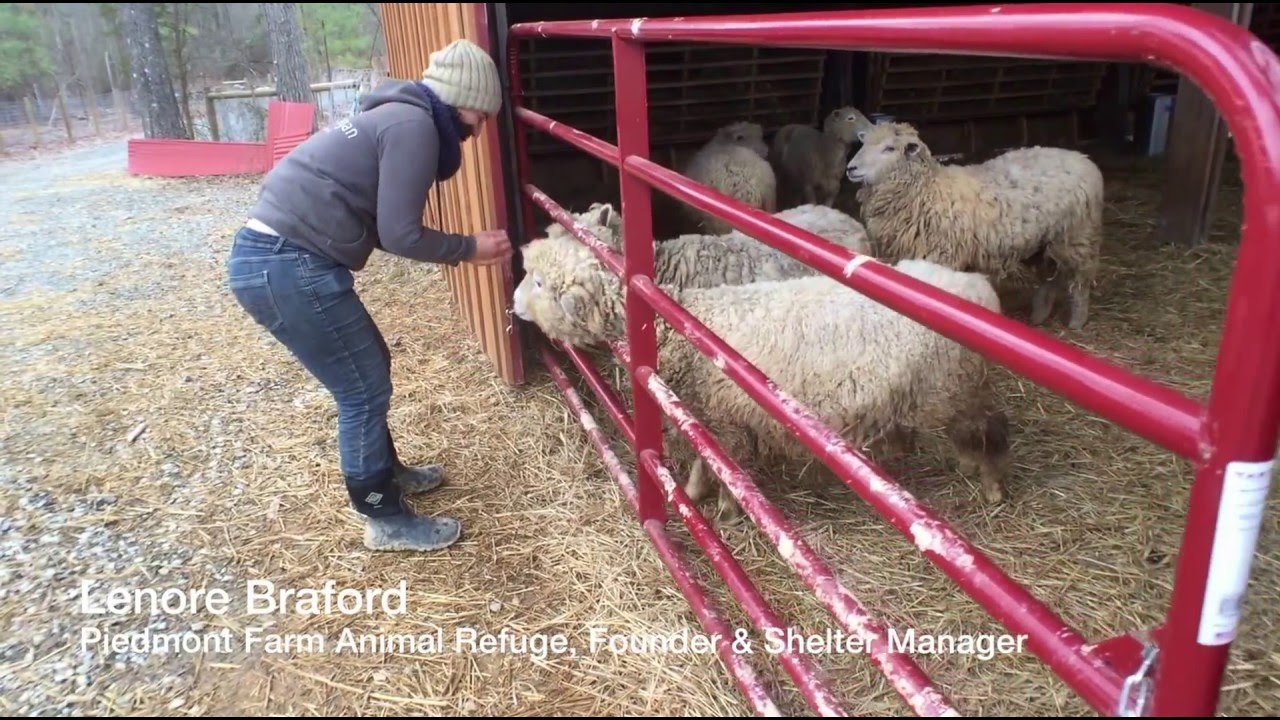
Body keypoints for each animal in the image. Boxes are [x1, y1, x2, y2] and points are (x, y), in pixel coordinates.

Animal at [512, 232, 1013, 522]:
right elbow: (704, 463)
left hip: (957, 388)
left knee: (990, 432)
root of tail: (978, 288)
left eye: (538, 283)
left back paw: (991, 487)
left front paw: (726, 511)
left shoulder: (728, 420)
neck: (677, 323)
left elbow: (728, 471)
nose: (512, 307)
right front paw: (692, 494)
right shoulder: (708, 416)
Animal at [846, 121, 1104, 330]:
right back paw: (1039, 313)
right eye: (863, 143)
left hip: (1077, 236)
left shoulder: (941, 255)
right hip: (1050, 242)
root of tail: (1084, 159)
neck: (926, 190)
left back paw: (1076, 321)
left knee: (1079, 281)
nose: (851, 168)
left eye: (889, 148)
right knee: (1055, 277)